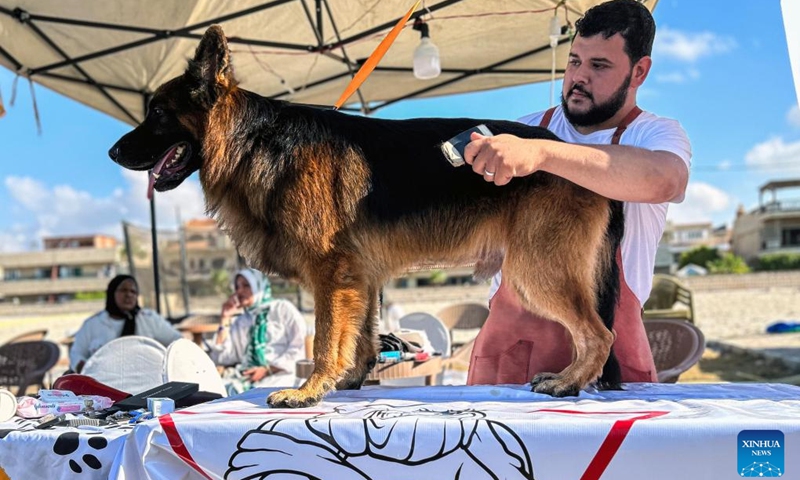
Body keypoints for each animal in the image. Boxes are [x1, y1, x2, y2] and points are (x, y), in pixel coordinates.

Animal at [111, 26, 624, 406]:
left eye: (158, 113)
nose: (113, 152)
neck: (254, 141)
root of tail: (578, 154)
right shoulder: (357, 277)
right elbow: (360, 335)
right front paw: (349, 379)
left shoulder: (330, 274)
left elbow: (324, 339)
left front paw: (308, 392)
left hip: (537, 270)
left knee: (600, 334)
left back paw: (567, 382)